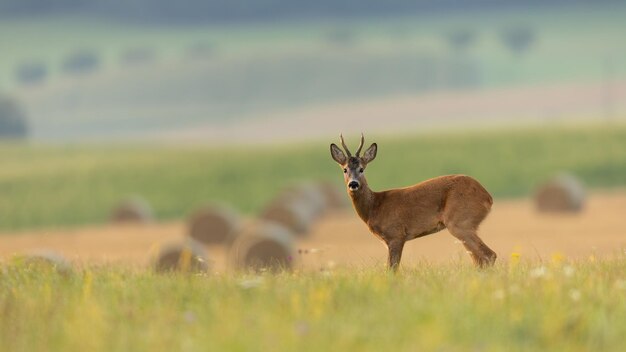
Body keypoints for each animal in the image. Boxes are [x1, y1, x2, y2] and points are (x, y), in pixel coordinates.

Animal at [330, 134, 494, 270]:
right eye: (345, 169)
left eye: (362, 169)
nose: (353, 184)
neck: (375, 207)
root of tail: (488, 197)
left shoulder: (396, 235)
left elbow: (391, 269)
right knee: (479, 260)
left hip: (460, 222)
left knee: (489, 255)